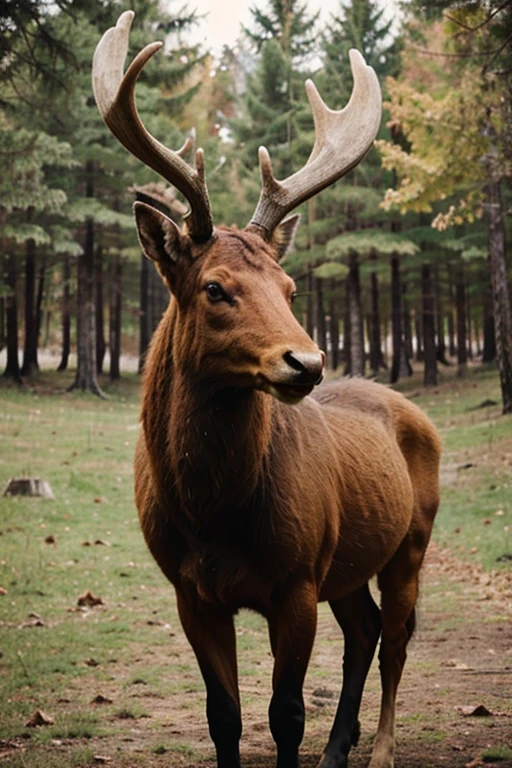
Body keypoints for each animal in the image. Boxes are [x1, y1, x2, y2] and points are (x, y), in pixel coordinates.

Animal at [95, 13, 440, 768]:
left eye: (289, 287)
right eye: (215, 287)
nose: (307, 363)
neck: (212, 510)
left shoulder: (298, 578)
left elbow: (284, 715)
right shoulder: (189, 589)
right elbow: (223, 715)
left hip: (413, 539)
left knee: (397, 639)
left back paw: (380, 749)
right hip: (349, 562)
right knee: (366, 630)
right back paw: (340, 749)